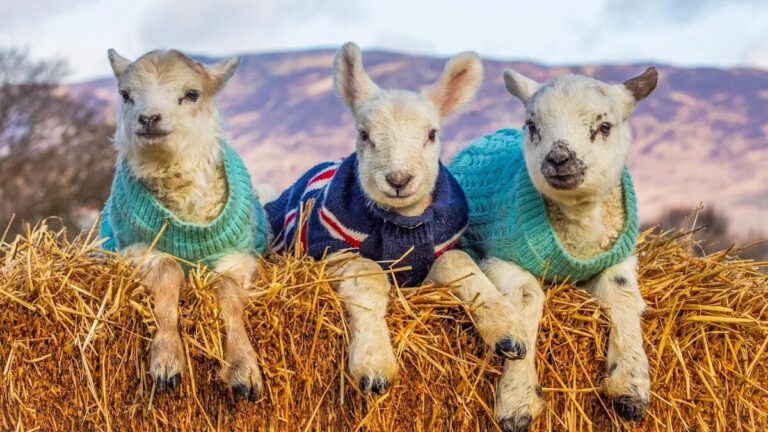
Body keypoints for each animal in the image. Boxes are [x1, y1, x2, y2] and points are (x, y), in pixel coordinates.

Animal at [100, 49, 269, 401]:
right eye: (125, 95)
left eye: (192, 94)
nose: (149, 118)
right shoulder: (137, 249)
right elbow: (168, 273)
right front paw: (167, 361)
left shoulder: (239, 256)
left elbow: (228, 292)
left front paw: (243, 368)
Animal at [264, 42, 483, 394]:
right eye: (364, 134)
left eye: (432, 134)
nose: (398, 179)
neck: (403, 224)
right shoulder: (334, 250)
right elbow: (367, 276)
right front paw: (374, 365)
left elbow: (459, 266)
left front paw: (509, 333)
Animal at [433, 67, 658, 431]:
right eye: (532, 125)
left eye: (604, 126)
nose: (559, 159)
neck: (579, 233)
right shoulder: (500, 258)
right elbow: (526, 298)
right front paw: (517, 399)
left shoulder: (617, 258)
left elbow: (622, 295)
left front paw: (631, 385)